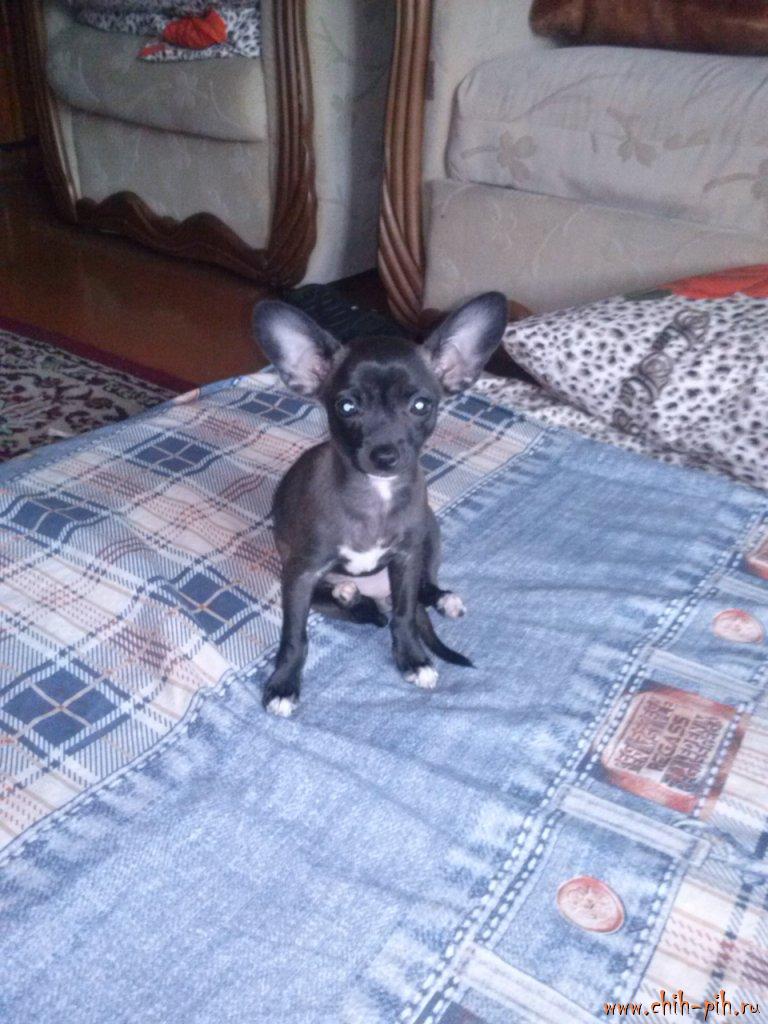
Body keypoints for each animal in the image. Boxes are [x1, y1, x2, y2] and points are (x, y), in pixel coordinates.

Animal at [253, 291, 508, 716]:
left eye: (421, 406)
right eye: (347, 407)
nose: (385, 455)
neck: (375, 495)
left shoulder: (405, 559)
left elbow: (403, 616)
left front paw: (412, 658)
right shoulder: (301, 575)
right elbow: (294, 636)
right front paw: (284, 684)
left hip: (430, 536)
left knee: (422, 590)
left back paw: (442, 599)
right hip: (301, 580)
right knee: (357, 608)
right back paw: (349, 596)